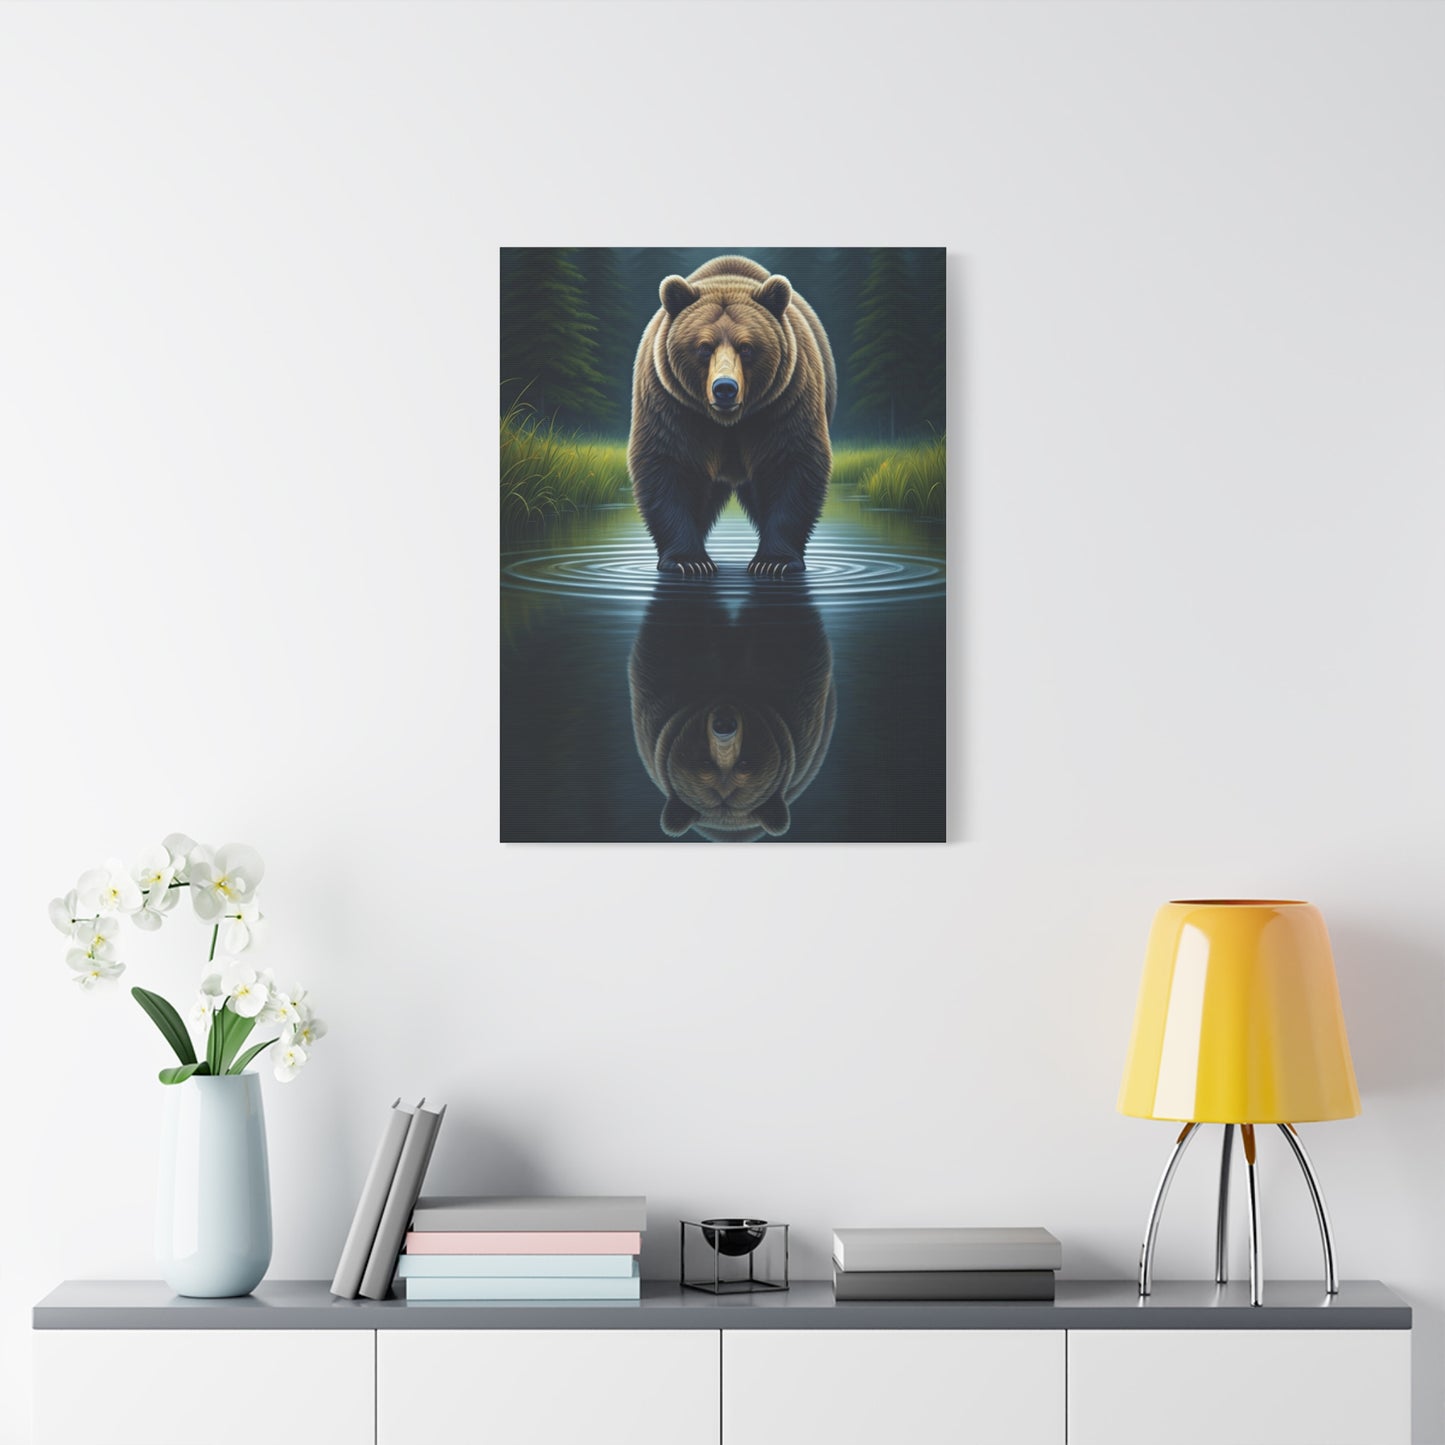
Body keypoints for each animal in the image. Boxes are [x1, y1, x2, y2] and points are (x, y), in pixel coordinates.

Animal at [628, 254, 837, 577]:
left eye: (747, 347)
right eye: (704, 347)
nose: (724, 388)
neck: (728, 422)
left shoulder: (785, 401)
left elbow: (793, 463)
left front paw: (773, 561)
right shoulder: (672, 404)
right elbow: (667, 465)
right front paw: (689, 560)